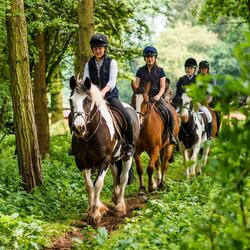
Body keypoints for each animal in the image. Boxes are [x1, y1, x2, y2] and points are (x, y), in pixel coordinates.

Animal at [69, 76, 140, 223]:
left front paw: (96, 213)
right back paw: (115, 196)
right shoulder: (82, 162)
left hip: (127, 156)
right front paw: (92, 210)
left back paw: (120, 206)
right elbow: (89, 185)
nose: (78, 128)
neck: (90, 136)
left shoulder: (104, 160)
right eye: (71, 100)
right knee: (115, 174)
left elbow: (98, 184)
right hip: (113, 159)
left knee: (123, 178)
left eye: (87, 100)